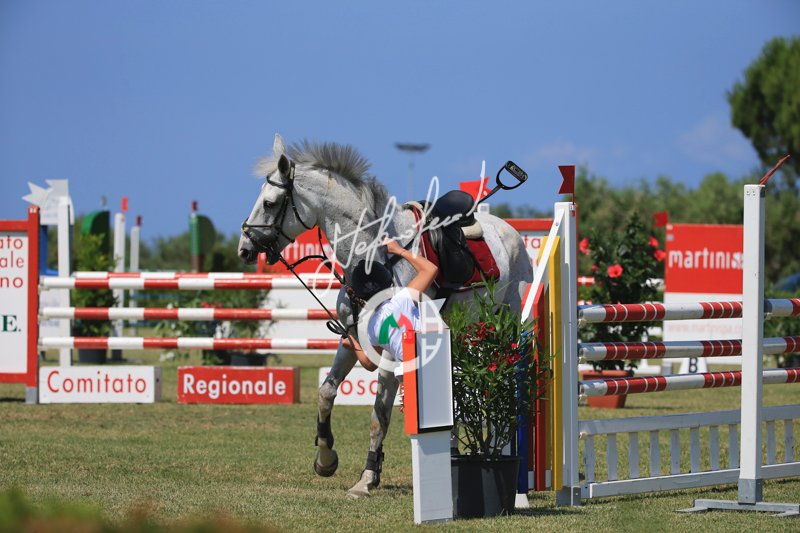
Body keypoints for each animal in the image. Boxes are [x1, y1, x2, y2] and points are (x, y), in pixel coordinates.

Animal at [238, 134, 532, 498]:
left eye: (269, 203)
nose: (244, 248)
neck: (371, 260)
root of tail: (508, 228)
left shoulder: (392, 353)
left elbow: (379, 416)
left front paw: (367, 478)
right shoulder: (350, 341)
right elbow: (326, 393)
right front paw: (326, 458)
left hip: (504, 323)